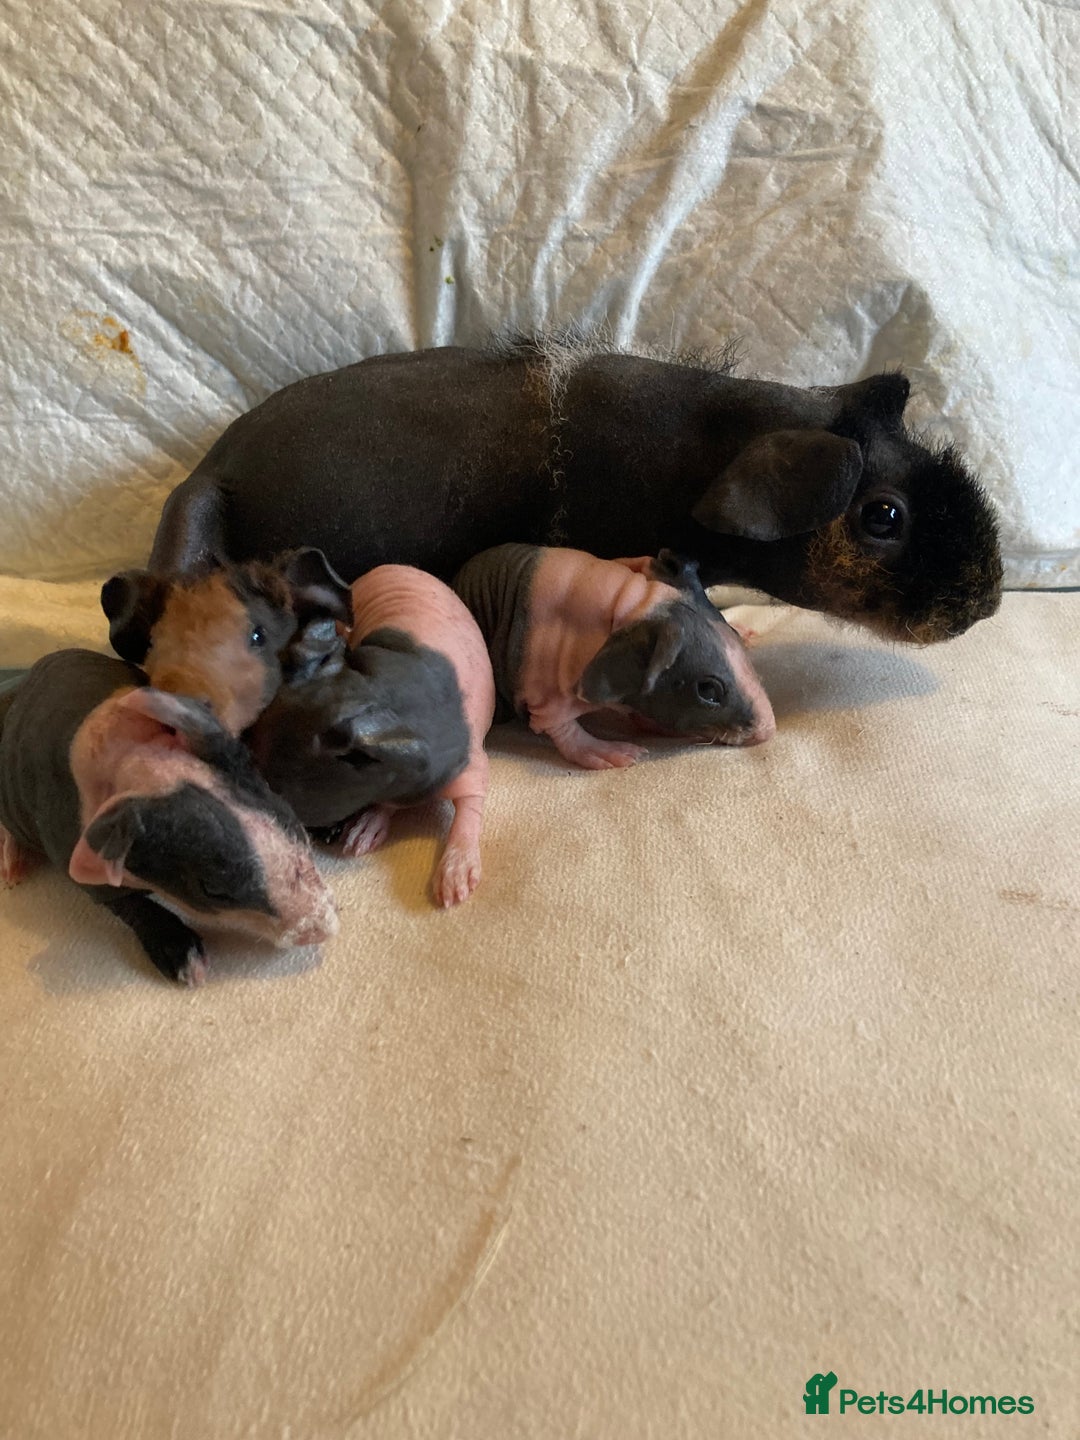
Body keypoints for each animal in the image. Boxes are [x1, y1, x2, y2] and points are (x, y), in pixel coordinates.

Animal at [0, 649, 338, 985]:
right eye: (213, 890)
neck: (135, 764)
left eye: (286, 817)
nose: (326, 927)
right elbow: (125, 903)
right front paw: (192, 971)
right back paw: (12, 871)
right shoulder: (71, 853)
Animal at [247, 566, 496, 907]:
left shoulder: (469, 764)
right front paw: (369, 825)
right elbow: (386, 802)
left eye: (275, 792)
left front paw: (456, 871)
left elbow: (470, 805)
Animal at [452, 546, 775, 768]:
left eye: (731, 635)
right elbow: (560, 727)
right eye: (708, 690)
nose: (768, 730)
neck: (631, 606)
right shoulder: (540, 686)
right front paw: (607, 751)